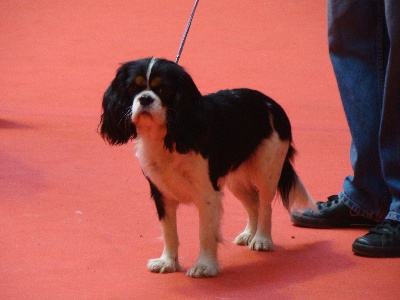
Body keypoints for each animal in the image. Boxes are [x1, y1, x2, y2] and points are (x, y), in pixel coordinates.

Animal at [98, 57, 314, 278]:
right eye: (133, 87)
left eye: (164, 89)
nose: (145, 99)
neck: (168, 135)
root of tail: (271, 104)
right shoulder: (162, 193)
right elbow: (169, 231)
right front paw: (168, 262)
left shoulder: (207, 195)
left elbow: (205, 233)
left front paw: (205, 266)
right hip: (236, 180)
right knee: (253, 203)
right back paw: (248, 234)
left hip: (267, 170)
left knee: (265, 205)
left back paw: (262, 239)